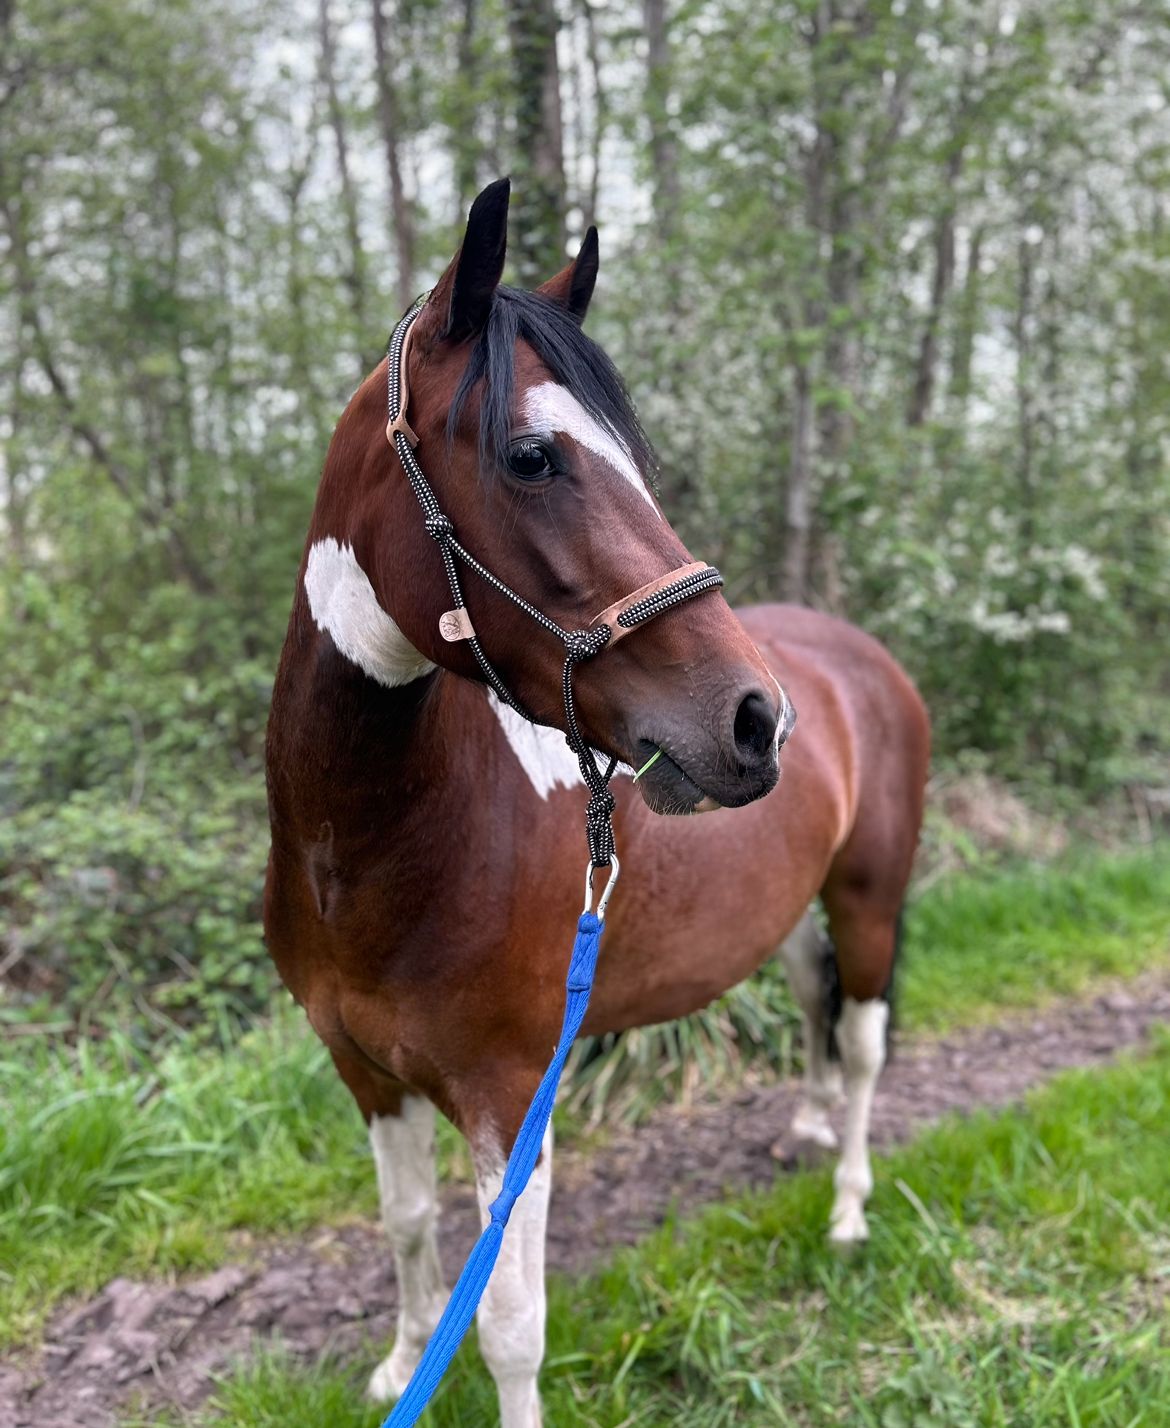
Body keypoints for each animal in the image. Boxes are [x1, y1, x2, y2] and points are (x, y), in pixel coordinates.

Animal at [265, 177, 929, 1427]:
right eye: (531, 456)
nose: (759, 721)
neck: (367, 854)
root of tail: (855, 661)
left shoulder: (510, 1095)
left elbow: (510, 1326)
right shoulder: (367, 1075)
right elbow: (405, 1222)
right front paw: (400, 1360)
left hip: (872, 895)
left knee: (864, 1043)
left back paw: (849, 1205)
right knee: (809, 997)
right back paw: (809, 1126)